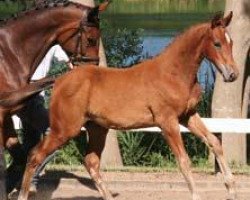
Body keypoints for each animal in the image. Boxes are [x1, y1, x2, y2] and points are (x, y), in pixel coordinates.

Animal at [18, 12, 237, 200]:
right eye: (217, 44)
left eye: (231, 42)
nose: (232, 74)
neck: (173, 73)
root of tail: (60, 81)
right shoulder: (167, 122)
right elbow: (184, 160)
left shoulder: (188, 115)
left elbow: (214, 143)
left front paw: (231, 188)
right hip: (64, 129)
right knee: (35, 155)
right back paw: (22, 194)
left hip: (97, 129)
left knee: (91, 162)